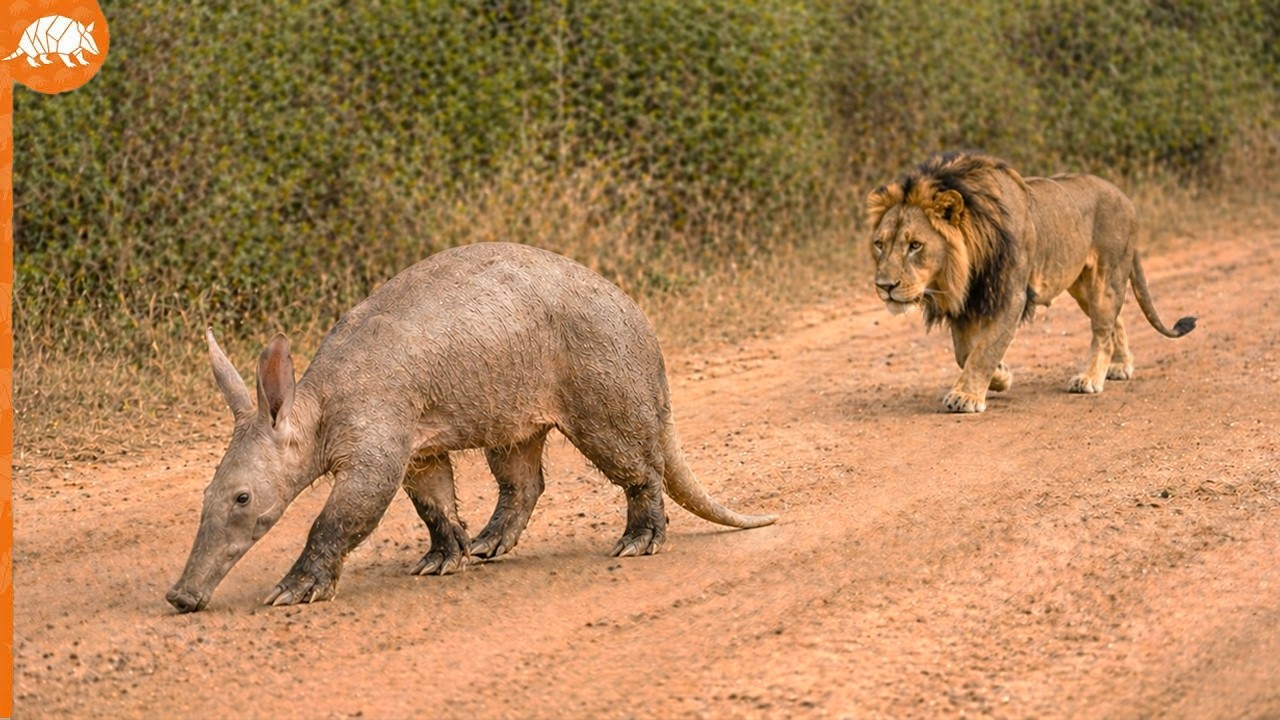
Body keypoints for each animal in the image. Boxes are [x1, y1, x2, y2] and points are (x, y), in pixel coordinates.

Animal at [866, 151, 1196, 413]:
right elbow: (965, 353)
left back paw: (1090, 378)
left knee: (1102, 331)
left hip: (1106, 275)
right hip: (1081, 285)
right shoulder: (967, 300)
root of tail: (1125, 198)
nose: (884, 286)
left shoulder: (1011, 295)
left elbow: (986, 348)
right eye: (880, 244)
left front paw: (967, 396)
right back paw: (1120, 366)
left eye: (915, 245)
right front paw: (1000, 377)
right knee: (1117, 320)